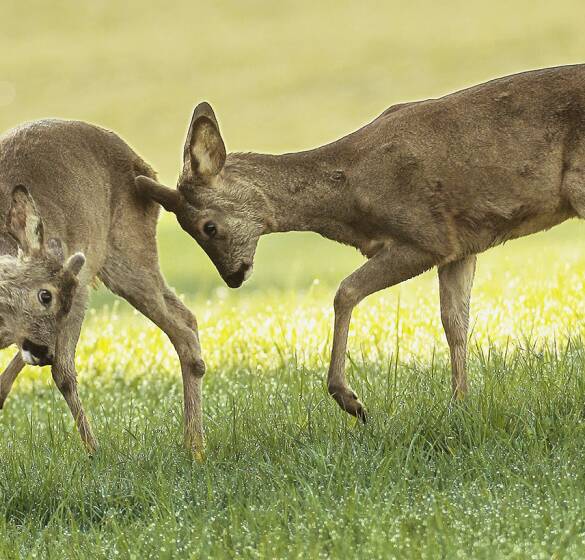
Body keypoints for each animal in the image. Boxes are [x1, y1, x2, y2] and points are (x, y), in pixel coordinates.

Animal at [0, 120, 205, 458]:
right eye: (45, 295)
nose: (42, 352)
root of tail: (146, 168)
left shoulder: (78, 288)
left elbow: (64, 373)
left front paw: (94, 451)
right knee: (187, 315)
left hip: (125, 252)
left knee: (183, 328)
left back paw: (195, 447)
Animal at [138, 63, 585, 420]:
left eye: (208, 227)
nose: (233, 277)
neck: (349, 192)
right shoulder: (461, 243)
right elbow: (455, 323)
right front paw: (460, 405)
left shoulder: (425, 234)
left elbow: (345, 291)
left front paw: (350, 401)